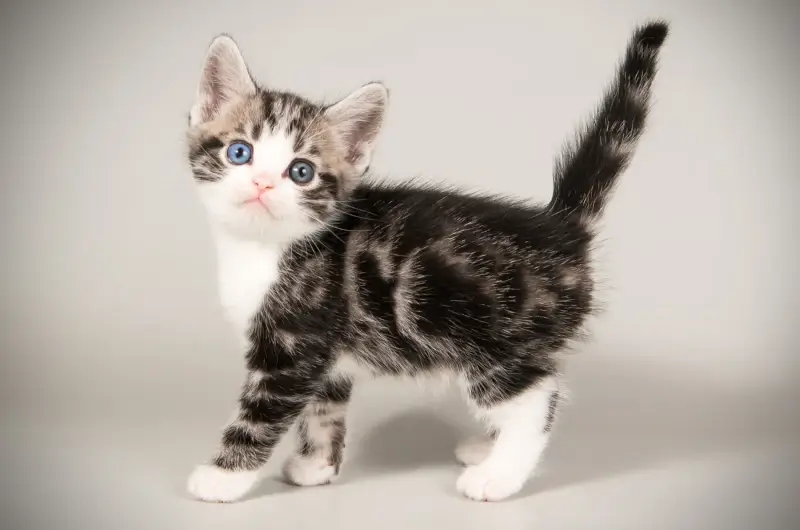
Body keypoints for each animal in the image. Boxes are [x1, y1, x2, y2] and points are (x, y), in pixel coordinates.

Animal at [184, 20, 664, 500]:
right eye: (239, 152)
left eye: (301, 172)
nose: (263, 184)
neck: (262, 246)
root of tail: (561, 228)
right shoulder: (326, 354)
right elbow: (323, 408)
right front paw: (315, 466)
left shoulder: (293, 344)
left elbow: (259, 416)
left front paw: (222, 477)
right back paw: (486, 448)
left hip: (494, 341)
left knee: (537, 399)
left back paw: (497, 475)